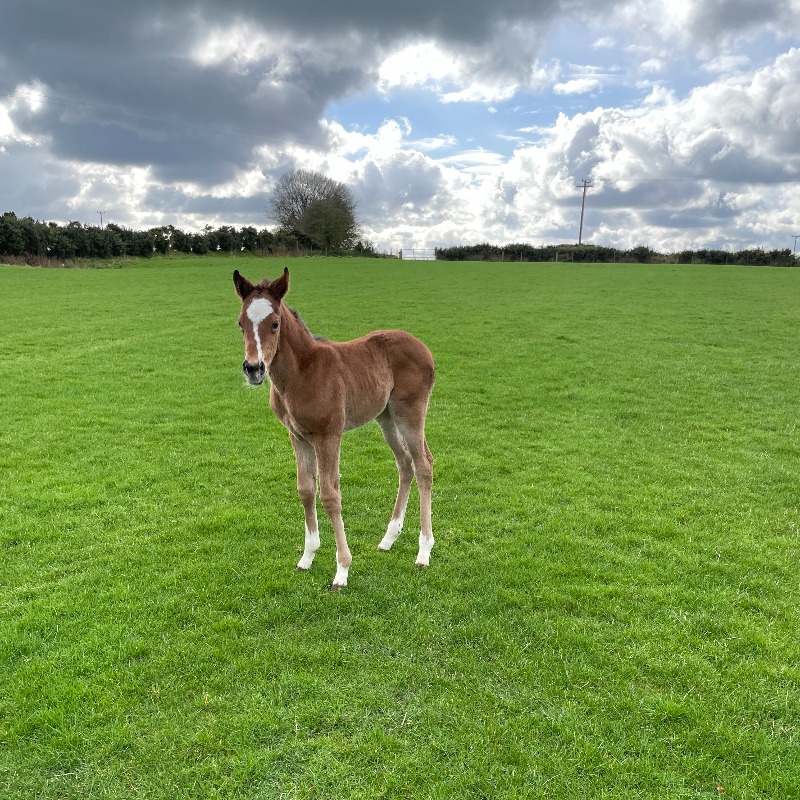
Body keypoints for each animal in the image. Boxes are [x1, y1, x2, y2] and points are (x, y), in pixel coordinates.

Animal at [233, 268, 435, 589]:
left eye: (275, 324)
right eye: (241, 324)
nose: (254, 369)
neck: (301, 373)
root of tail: (423, 347)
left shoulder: (328, 435)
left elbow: (330, 494)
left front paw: (342, 569)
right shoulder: (298, 436)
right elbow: (306, 489)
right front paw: (307, 556)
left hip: (410, 413)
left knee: (423, 464)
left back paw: (424, 551)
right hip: (386, 417)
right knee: (405, 463)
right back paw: (388, 539)